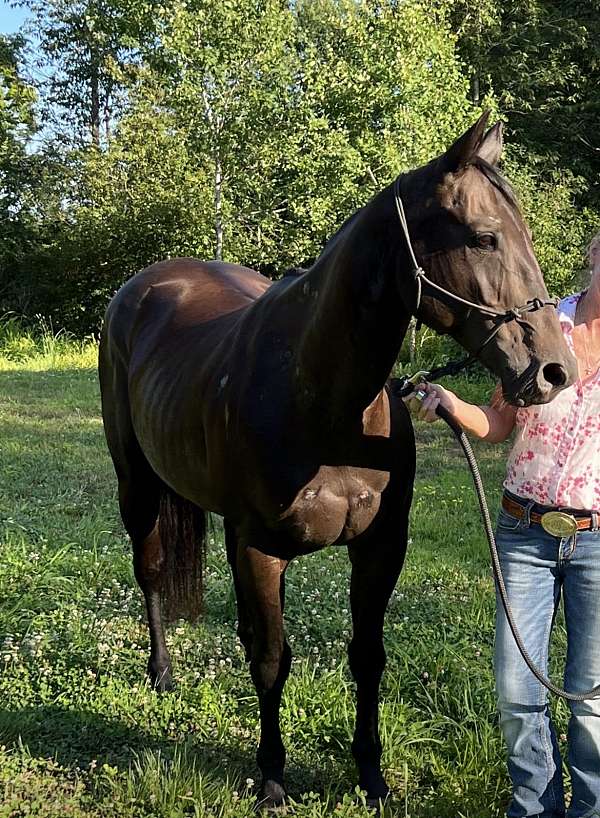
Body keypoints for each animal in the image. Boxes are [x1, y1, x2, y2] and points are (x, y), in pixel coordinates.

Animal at [98, 111, 576, 808]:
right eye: (484, 238)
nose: (554, 371)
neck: (325, 403)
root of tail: (142, 285)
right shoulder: (260, 549)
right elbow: (272, 658)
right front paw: (272, 777)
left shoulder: (379, 548)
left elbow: (367, 657)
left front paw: (371, 776)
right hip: (136, 484)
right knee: (153, 570)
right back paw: (161, 672)